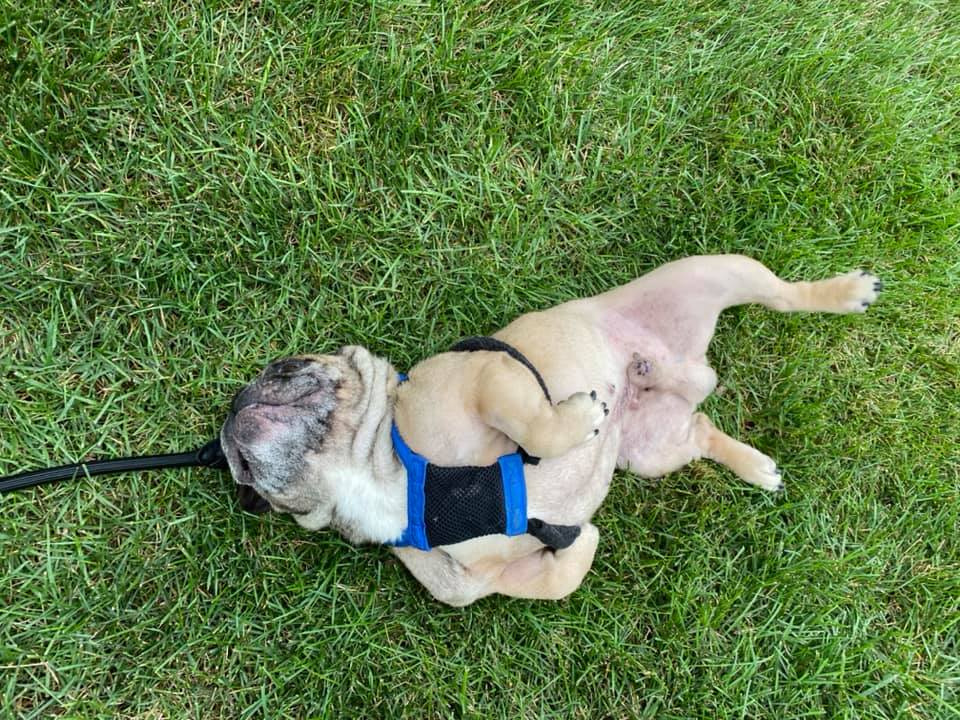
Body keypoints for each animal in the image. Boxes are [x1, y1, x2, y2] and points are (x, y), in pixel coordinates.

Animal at [220, 255, 882, 606]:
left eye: (284, 369)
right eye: (244, 475)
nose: (235, 406)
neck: (377, 473)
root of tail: (687, 369)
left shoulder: (486, 381)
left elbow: (533, 426)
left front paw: (581, 418)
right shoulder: (480, 581)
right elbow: (559, 577)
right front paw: (578, 541)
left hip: (715, 273)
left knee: (785, 296)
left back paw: (846, 292)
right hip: (652, 451)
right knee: (701, 431)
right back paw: (755, 465)